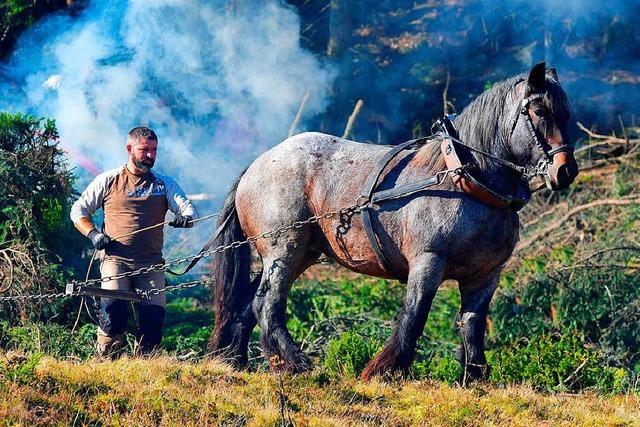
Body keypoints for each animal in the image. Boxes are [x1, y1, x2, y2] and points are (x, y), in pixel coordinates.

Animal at [208, 62, 576, 382]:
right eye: (539, 111)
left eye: (566, 113)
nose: (565, 171)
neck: (465, 182)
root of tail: (258, 164)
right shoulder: (428, 261)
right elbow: (415, 315)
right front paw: (386, 369)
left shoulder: (486, 276)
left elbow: (473, 324)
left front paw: (474, 377)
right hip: (283, 251)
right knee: (267, 304)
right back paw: (292, 362)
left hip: (302, 254)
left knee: (247, 305)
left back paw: (237, 360)